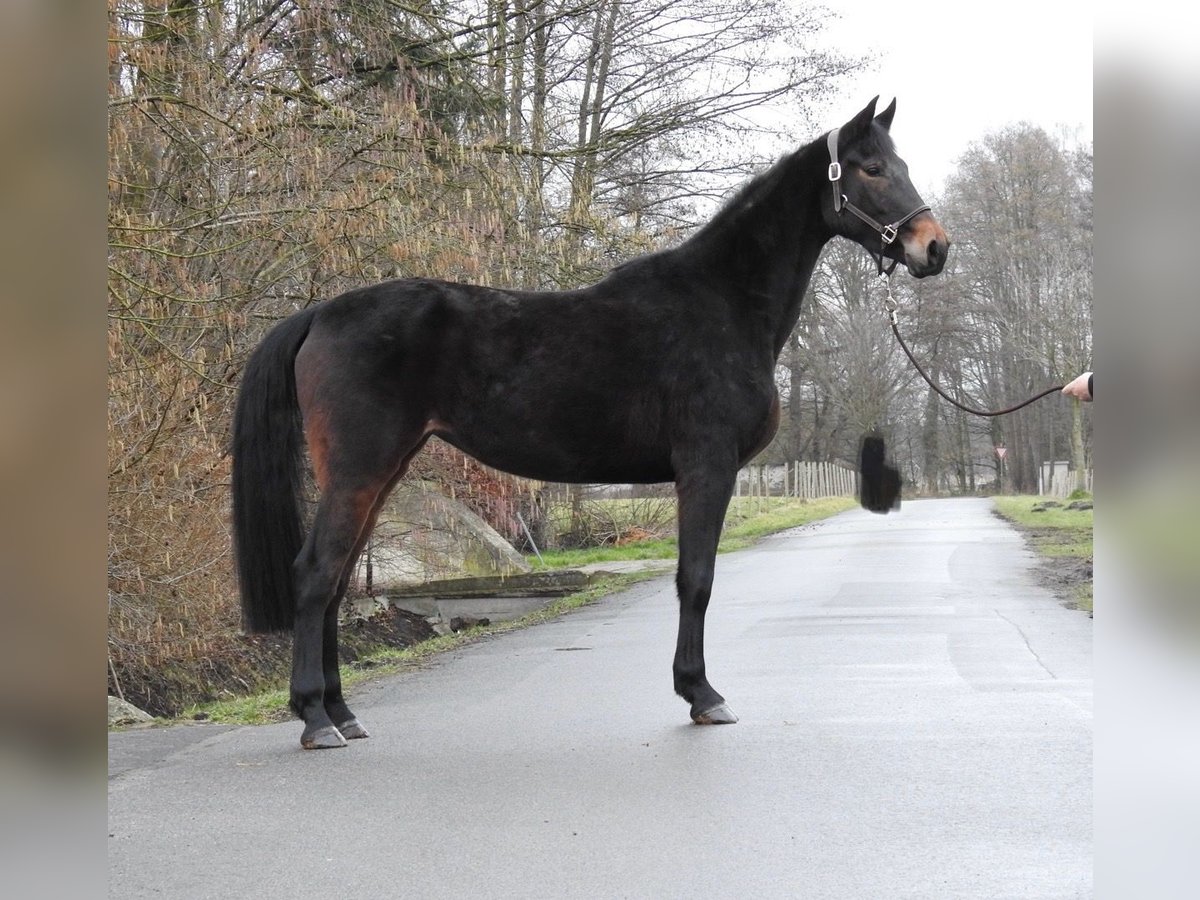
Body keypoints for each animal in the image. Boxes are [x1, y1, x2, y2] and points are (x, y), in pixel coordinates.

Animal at [231, 95, 945, 748]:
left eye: (901, 163)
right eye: (872, 168)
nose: (933, 247)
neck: (723, 302)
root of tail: (320, 313)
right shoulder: (706, 467)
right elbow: (697, 580)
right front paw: (701, 693)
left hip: (380, 472)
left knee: (339, 579)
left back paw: (343, 713)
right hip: (360, 467)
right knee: (316, 574)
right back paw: (316, 719)